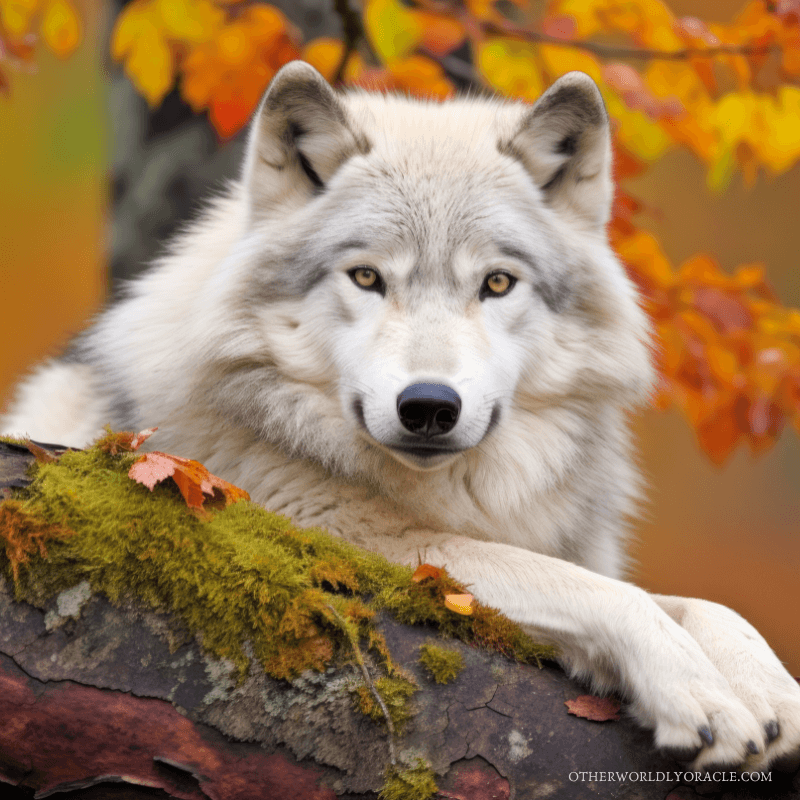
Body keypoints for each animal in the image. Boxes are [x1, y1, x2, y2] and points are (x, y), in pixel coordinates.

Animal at [3, 61, 799, 773]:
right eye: (366, 277)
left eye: (497, 283)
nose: (428, 406)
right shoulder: (343, 540)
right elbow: (608, 594)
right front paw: (700, 694)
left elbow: (700, 604)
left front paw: (767, 690)